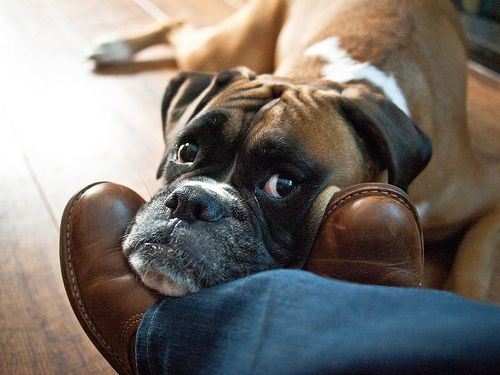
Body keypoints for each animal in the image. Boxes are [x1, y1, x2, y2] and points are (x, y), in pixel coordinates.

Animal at [92, 0, 498, 300]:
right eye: (187, 151)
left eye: (282, 185)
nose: (191, 201)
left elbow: (474, 264)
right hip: (225, 47)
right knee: (177, 25)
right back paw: (114, 47)